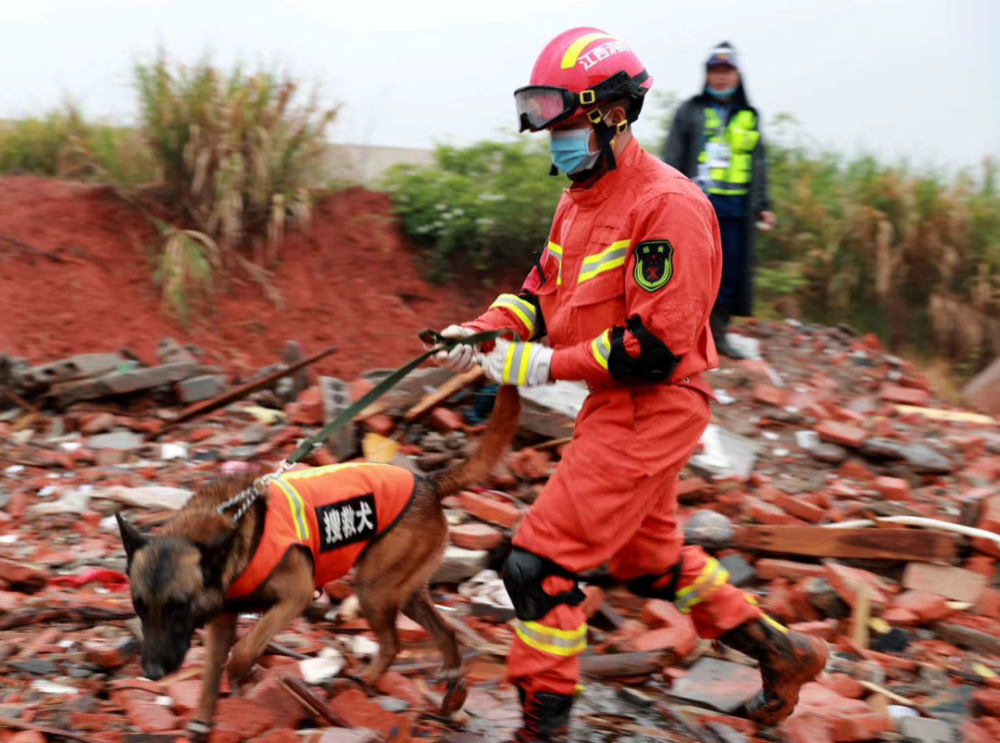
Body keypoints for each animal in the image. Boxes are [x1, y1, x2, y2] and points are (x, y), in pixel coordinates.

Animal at [117, 384, 520, 740]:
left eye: (179, 607)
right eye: (140, 607)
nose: (151, 672)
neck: (232, 526)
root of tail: (428, 483)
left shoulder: (293, 598)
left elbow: (243, 651)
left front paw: (244, 673)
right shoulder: (221, 619)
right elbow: (211, 673)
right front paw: (203, 718)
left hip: (374, 590)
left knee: (392, 643)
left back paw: (371, 681)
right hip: (404, 593)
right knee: (444, 632)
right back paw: (451, 687)